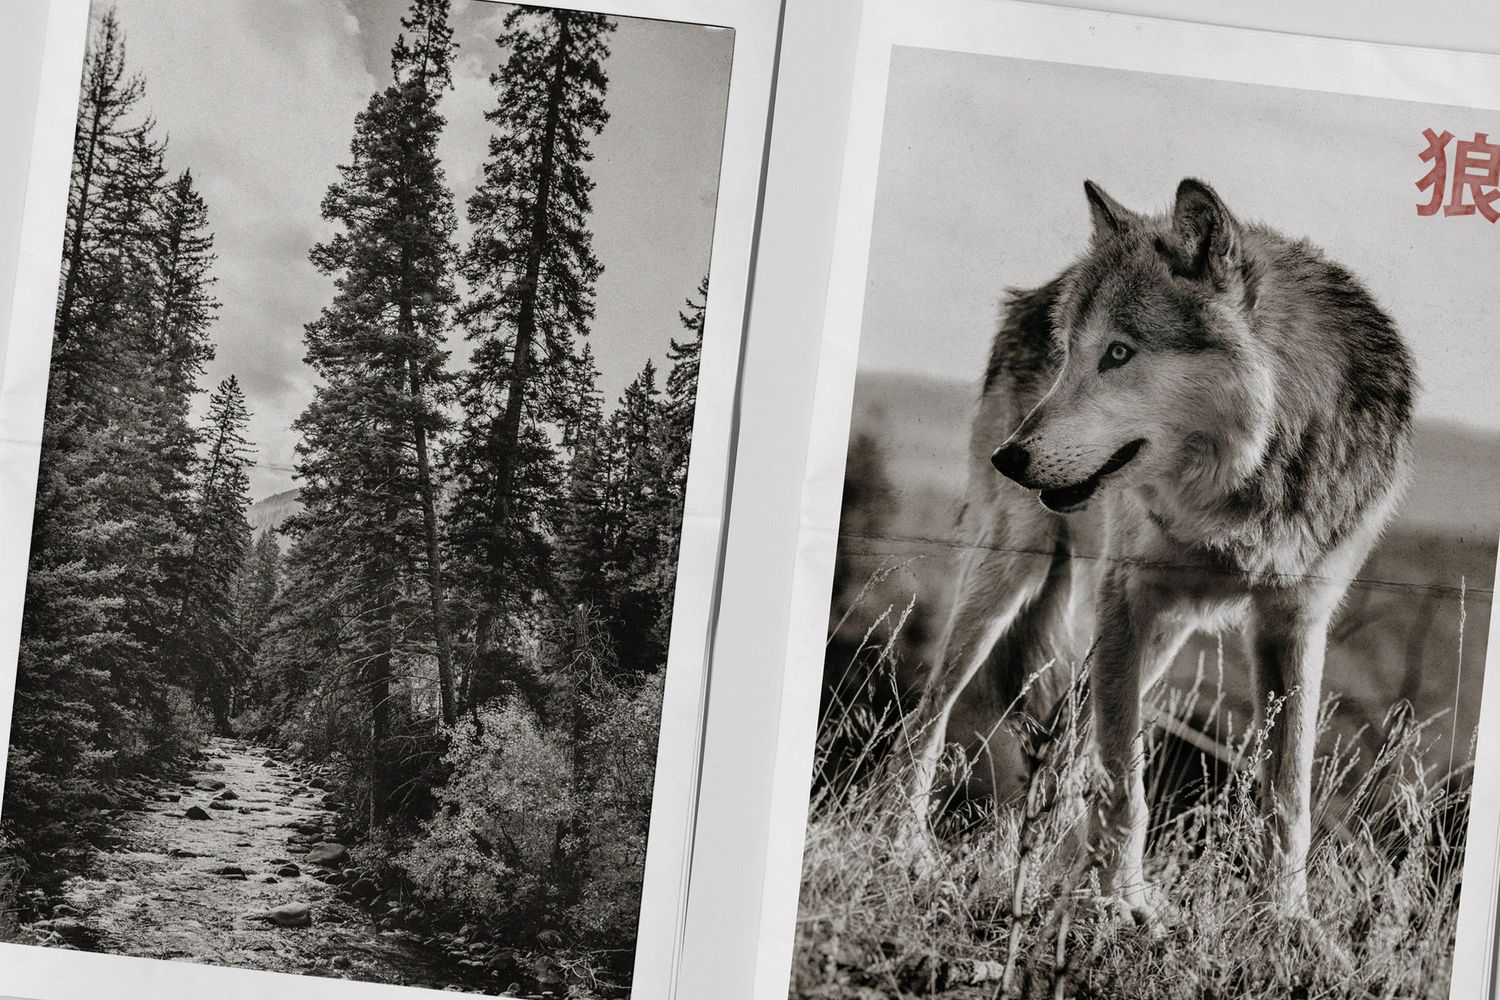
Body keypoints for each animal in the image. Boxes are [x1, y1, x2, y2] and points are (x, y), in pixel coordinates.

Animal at [898, 178, 1415, 914]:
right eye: (1068, 353)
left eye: (1119, 353)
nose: (1010, 458)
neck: (1243, 490)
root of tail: (1031, 292)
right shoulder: (1126, 595)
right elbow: (1126, 780)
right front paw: (1123, 902)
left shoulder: (1294, 622)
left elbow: (1288, 796)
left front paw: (1287, 919)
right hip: (1012, 571)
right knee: (932, 716)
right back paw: (912, 853)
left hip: (1161, 636)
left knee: (1063, 746)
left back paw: (1029, 869)